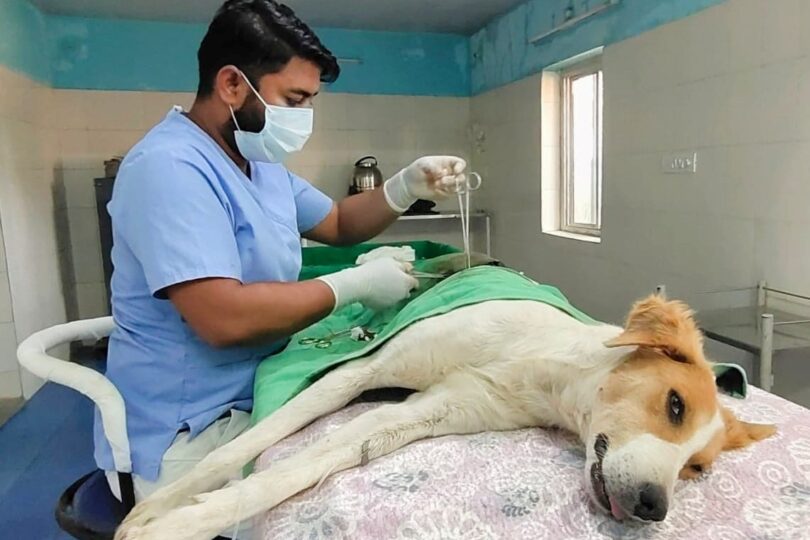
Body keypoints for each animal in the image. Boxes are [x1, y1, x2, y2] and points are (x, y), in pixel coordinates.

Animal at [117, 294, 772, 536]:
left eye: (698, 470)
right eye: (675, 404)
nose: (654, 507)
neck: (542, 361)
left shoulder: (420, 414)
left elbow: (306, 464)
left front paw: (186, 515)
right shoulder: (361, 372)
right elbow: (247, 446)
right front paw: (162, 511)